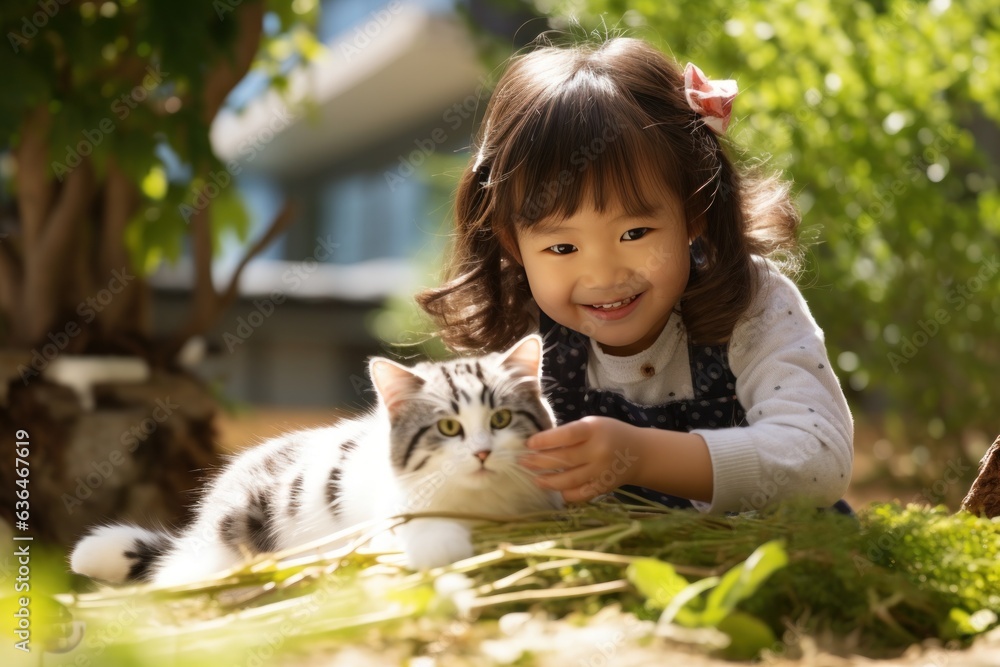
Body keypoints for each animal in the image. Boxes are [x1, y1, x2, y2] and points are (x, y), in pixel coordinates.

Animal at [70, 334, 564, 584]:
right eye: (447, 428)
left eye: (501, 419)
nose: (481, 452)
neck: (480, 503)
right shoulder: (391, 512)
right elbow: (412, 527)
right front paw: (442, 547)